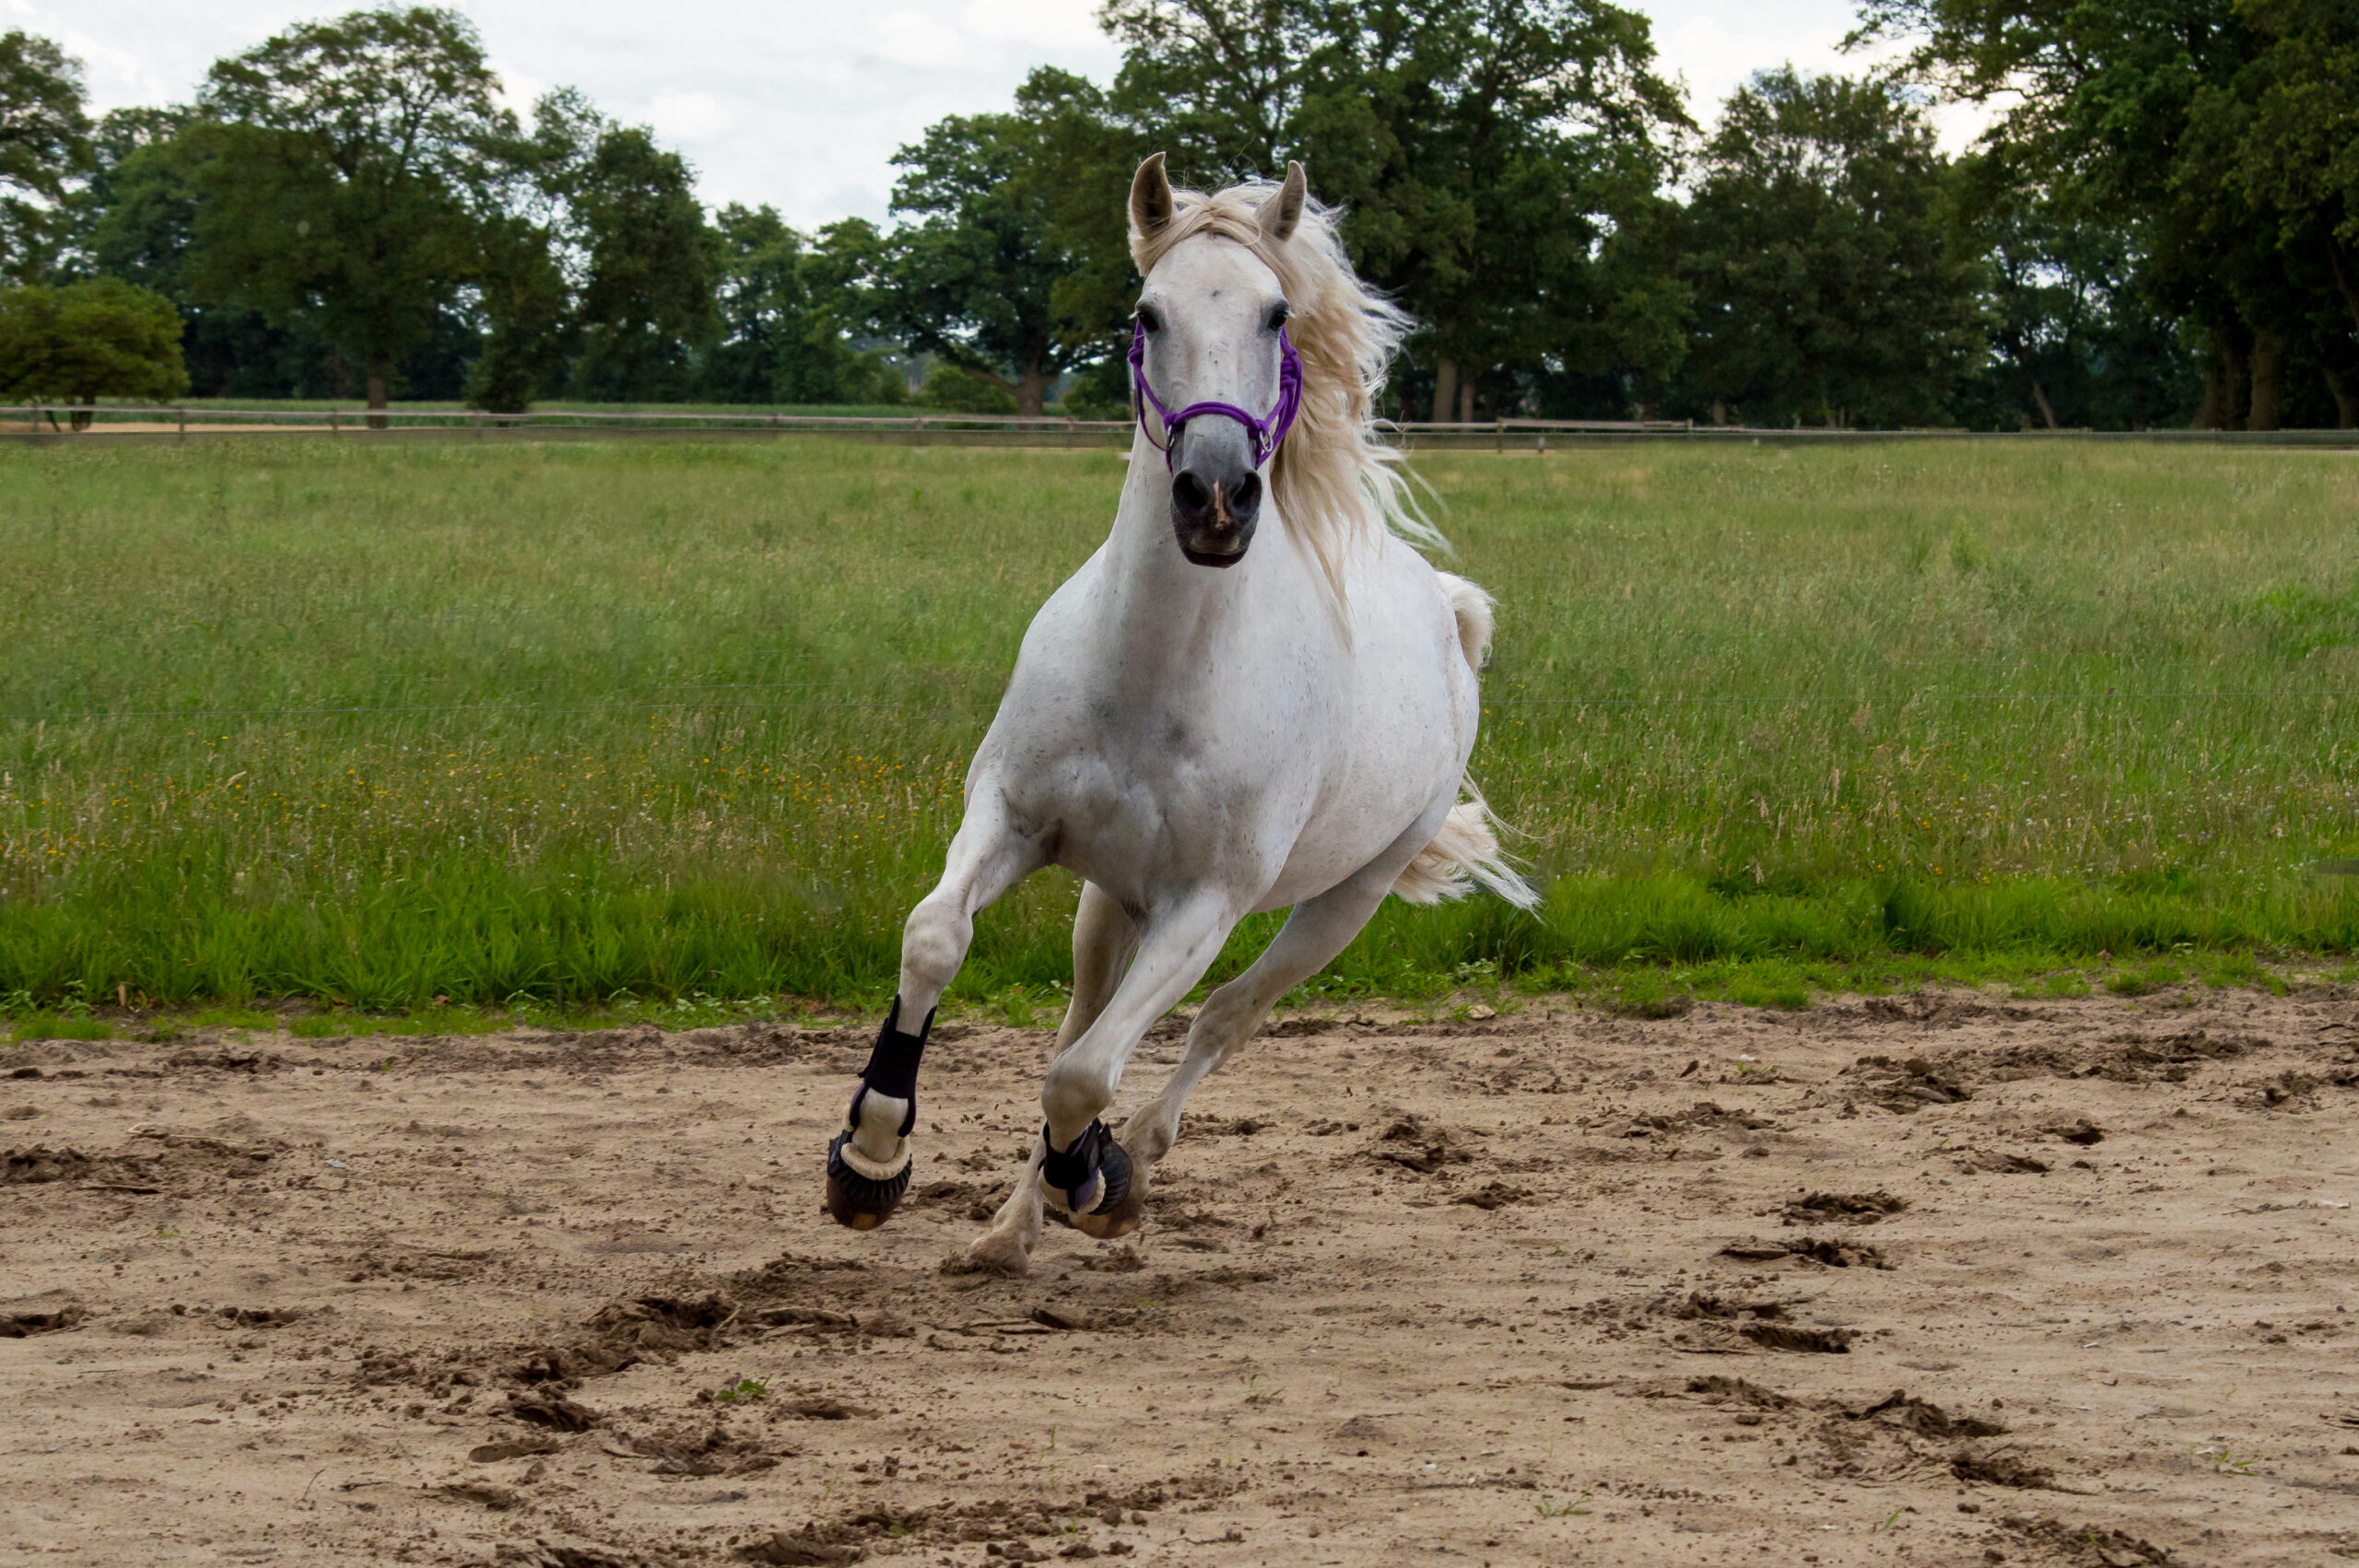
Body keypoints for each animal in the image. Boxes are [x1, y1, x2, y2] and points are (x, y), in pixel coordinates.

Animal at [826, 155, 1528, 1273]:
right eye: (1146, 313)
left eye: (1276, 313)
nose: (1214, 498)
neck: (1155, 677)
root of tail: (1448, 613)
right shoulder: (1011, 819)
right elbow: (939, 941)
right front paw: (870, 1157)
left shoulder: (1206, 904)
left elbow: (1085, 1076)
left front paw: (1099, 1178)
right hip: (1111, 895)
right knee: (1084, 1014)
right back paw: (1008, 1231)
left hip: (1343, 901)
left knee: (1218, 1023)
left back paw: (1120, 1168)